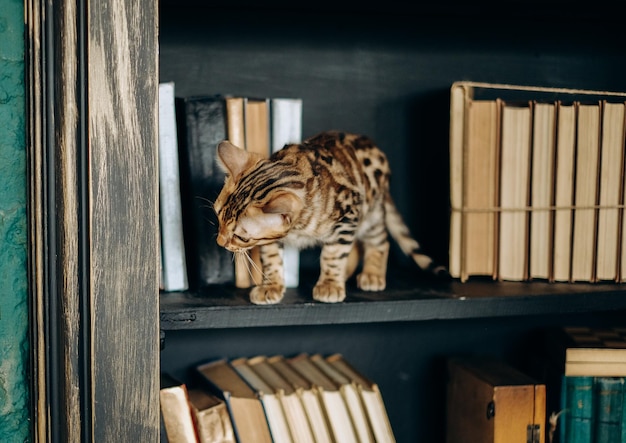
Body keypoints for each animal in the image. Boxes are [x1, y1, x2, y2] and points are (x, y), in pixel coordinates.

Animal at [212, 132, 446, 306]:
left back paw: (372, 274)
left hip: (371, 214)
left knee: (380, 241)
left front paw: (330, 284)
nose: (219, 242)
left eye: (241, 237)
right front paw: (271, 285)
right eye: (218, 218)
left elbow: (333, 255)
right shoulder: (273, 237)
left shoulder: (347, 217)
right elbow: (271, 258)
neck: (298, 228)